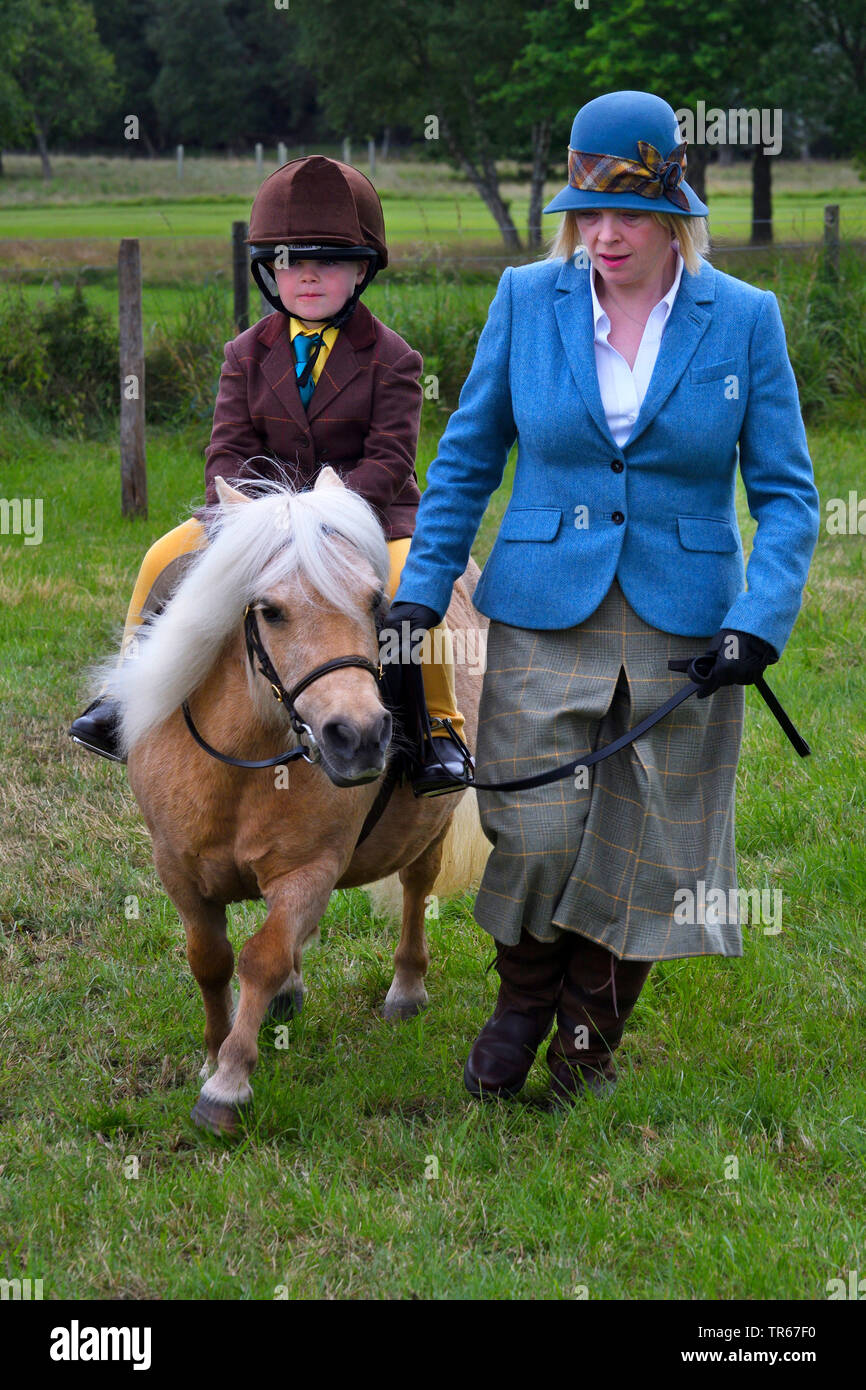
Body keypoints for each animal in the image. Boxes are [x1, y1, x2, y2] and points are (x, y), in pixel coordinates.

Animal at [97, 472, 492, 1134]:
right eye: (270, 611)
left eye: (376, 604)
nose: (359, 735)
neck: (241, 764)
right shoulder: (177, 868)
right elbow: (210, 959)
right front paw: (213, 1053)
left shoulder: (309, 869)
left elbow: (262, 956)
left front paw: (228, 1085)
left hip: (428, 829)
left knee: (417, 888)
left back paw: (406, 989)